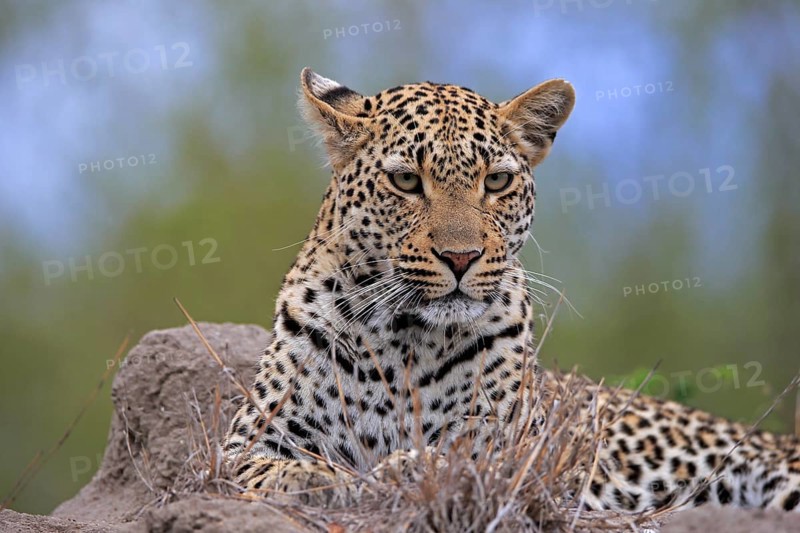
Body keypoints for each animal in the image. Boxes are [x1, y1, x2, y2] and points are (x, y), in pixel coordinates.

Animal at [223, 67, 800, 516]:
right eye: (406, 181)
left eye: (496, 182)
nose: (461, 257)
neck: (402, 339)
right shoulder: (251, 438)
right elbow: (265, 470)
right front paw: (319, 479)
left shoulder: (517, 446)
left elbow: (461, 458)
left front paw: (406, 469)